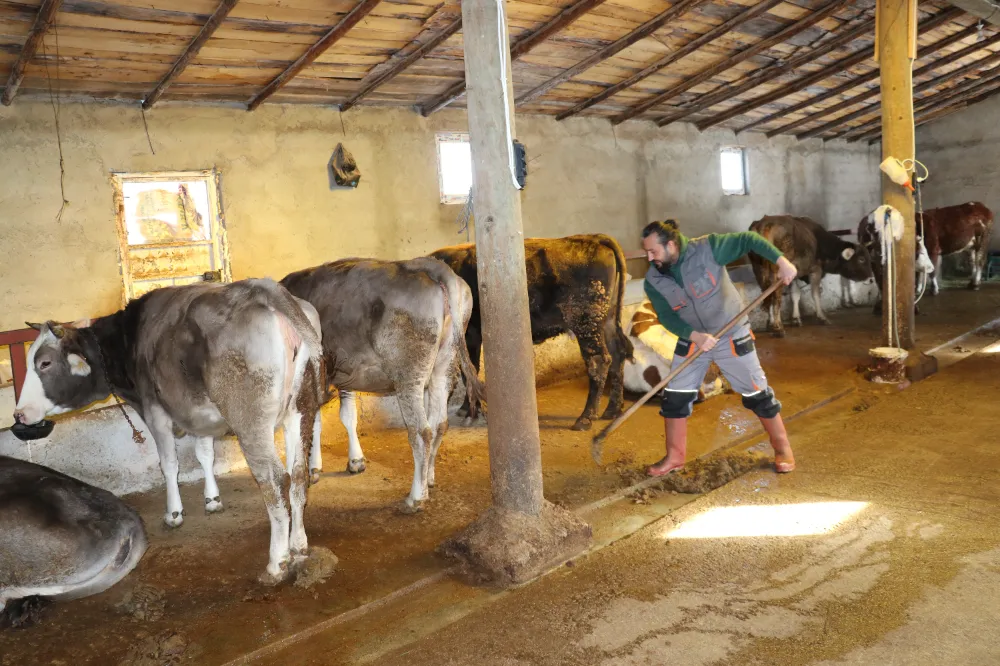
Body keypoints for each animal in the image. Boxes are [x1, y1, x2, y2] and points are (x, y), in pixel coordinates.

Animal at [12, 278, 324, 580]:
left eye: (45, 363)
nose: (19, 413)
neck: (128, 339)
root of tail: (262, 288)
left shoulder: (155, 411)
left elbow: (169, 464)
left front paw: (174, 512)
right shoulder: (196, 411)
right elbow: (205, 454)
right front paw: (212, 498)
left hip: (249, 421)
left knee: (275, 480)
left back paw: (277, 562)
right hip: (300, 409)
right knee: (298, 475)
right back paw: (299, 545)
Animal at [280, 256, 486, 510]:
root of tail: (432, 266)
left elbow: (314, 422)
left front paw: (314, 467)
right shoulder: (344, 373)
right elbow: (347, 416)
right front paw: (355, 460)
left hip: (409, 375)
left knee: (422, 432)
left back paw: (416, 497)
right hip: (444, 366)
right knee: (439, 423)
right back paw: (429, 479)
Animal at [430, 232, 632, 430]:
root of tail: (594, 237)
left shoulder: (470, 334)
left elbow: (469, 372)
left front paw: (470, 412)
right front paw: (466, 408)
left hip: (586, 322)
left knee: (598, 361)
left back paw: (586, 418)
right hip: (607, 319)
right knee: (618, 354)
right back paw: (612, 410)